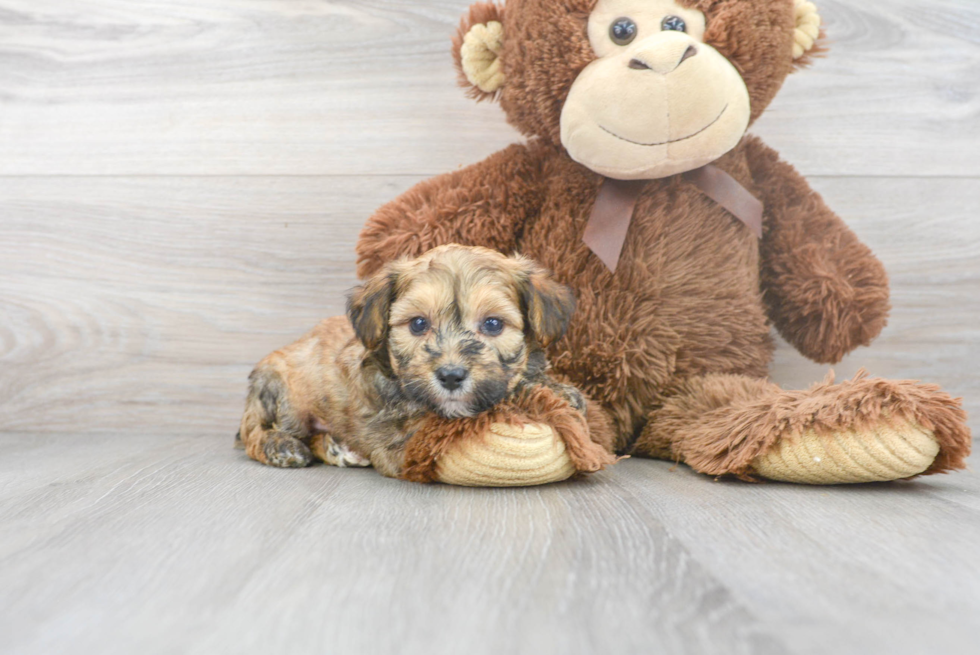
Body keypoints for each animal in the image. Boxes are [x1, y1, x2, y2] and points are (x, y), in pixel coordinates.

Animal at [234, 243, 580, 480]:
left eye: (493, 324)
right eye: (418, 324)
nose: (451, 376)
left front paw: (557, 389)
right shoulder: (400, 437)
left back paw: (338, 448)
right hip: (282, 393)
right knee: (254, 434)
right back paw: (282, 446)